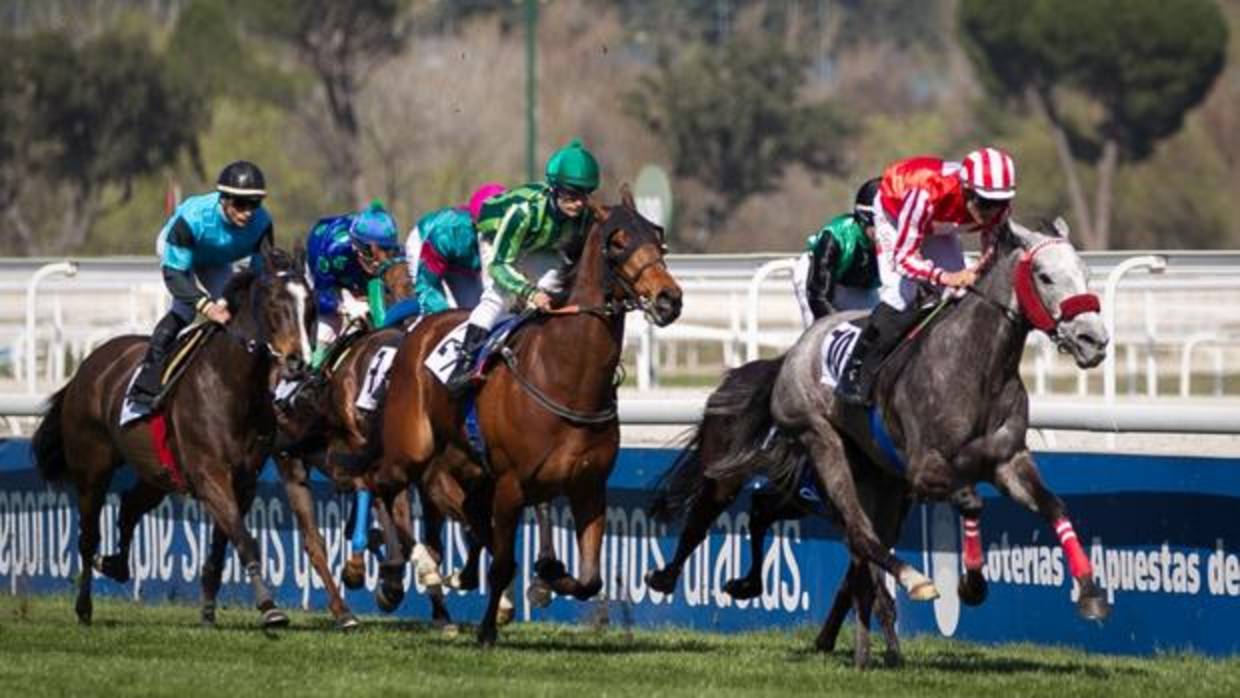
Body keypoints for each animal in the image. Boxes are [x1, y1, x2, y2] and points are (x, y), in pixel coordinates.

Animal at [33, 250, 317, 627]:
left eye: (310, 305)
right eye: (274, 303)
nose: (299, 362)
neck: (231, 385)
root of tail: (87, 366)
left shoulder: (243, 480)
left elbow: (224, 544)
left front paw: (209, 610)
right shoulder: (210, 474)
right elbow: (244, 539)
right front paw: (270, 608)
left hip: (157, 474)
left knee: (129, 507)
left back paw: (116, 565)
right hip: (92, 467)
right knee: (88, 537)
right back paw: (84, 606)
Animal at [372, 188, 684, 649]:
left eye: (658, 238)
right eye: (617, 242)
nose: (669, 299)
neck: (566, 376)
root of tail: (422, 327)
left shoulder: (589, 487)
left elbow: (589, 578)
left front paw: (550, 573)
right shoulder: (511, 484)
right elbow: (504, 563)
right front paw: (487, 629)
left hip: (467, 465)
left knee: (458, 507)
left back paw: (458, 574)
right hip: (411, 448)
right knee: (384, 488)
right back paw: (394, 581)